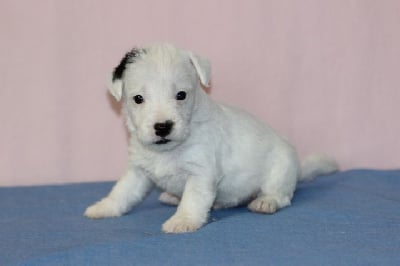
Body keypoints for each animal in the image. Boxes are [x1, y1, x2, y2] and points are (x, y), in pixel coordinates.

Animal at [83, 43, 338, 233]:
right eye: (138, 98)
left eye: (181, 95)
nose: (163, 127)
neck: (170, 150)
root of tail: (298, 170)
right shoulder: (137, 171)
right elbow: (122, 193)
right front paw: (104, 207)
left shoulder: (200, 173)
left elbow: (193, 200)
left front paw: (183, 220)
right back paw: (173, 197)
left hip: (280, 169)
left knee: (281, 195)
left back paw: (266, 202)